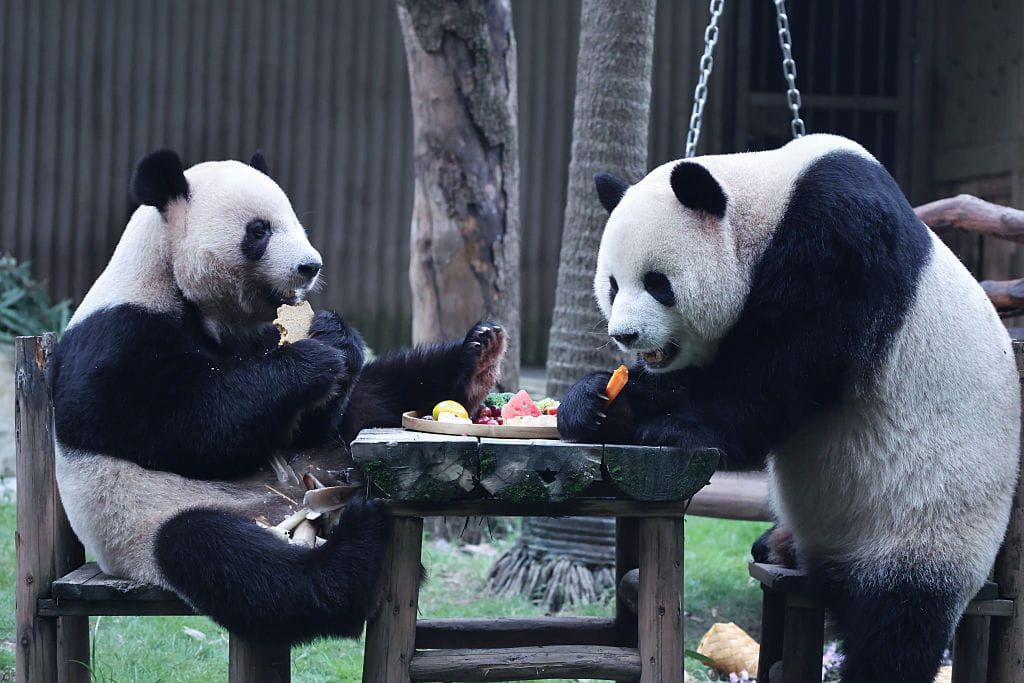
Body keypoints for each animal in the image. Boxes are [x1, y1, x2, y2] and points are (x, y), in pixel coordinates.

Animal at [50, 149, 506, 644]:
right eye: (259, 230)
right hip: (150, 519)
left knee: (373, 397)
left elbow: (301, 420)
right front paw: (312, 361)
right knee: (236, 563)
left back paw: (475, 359)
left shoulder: (258, 336)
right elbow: (184, 427)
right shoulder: (117, 338)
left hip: (330, 452)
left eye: (295, 222)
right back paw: (354, 546)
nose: (310, 267)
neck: (170, 278)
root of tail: (301, 500)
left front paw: (337, 336)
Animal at [557, 134, 1020, 682]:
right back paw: (777, 546)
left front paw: (675, 431)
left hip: (931, 516)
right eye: (612, 285)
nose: (625, 335)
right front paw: (596, 404)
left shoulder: (842, 240)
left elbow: (785, 366)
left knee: (899, 624)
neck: (769, 202)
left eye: (657, 283)